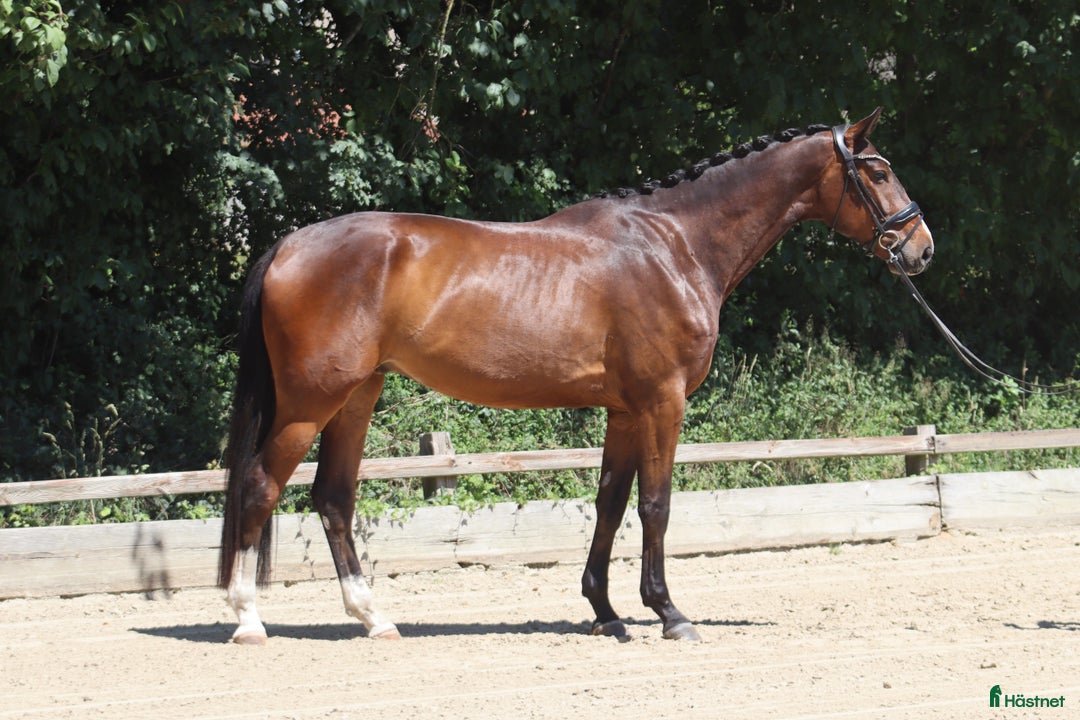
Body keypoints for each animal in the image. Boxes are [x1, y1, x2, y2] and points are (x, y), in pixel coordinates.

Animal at [217, 107, 934, 644]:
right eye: (878, 170)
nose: (921, 248)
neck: (674, 244)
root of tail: (289, 245)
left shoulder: (624, 410)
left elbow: (611, 503)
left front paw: (607, 613)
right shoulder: (662, 403)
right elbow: (655, 505)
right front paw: (669, 613)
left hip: (355, 398)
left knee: (333, 499)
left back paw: (374, 619)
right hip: (309, 404)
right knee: (259, 487)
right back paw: (249, 621)